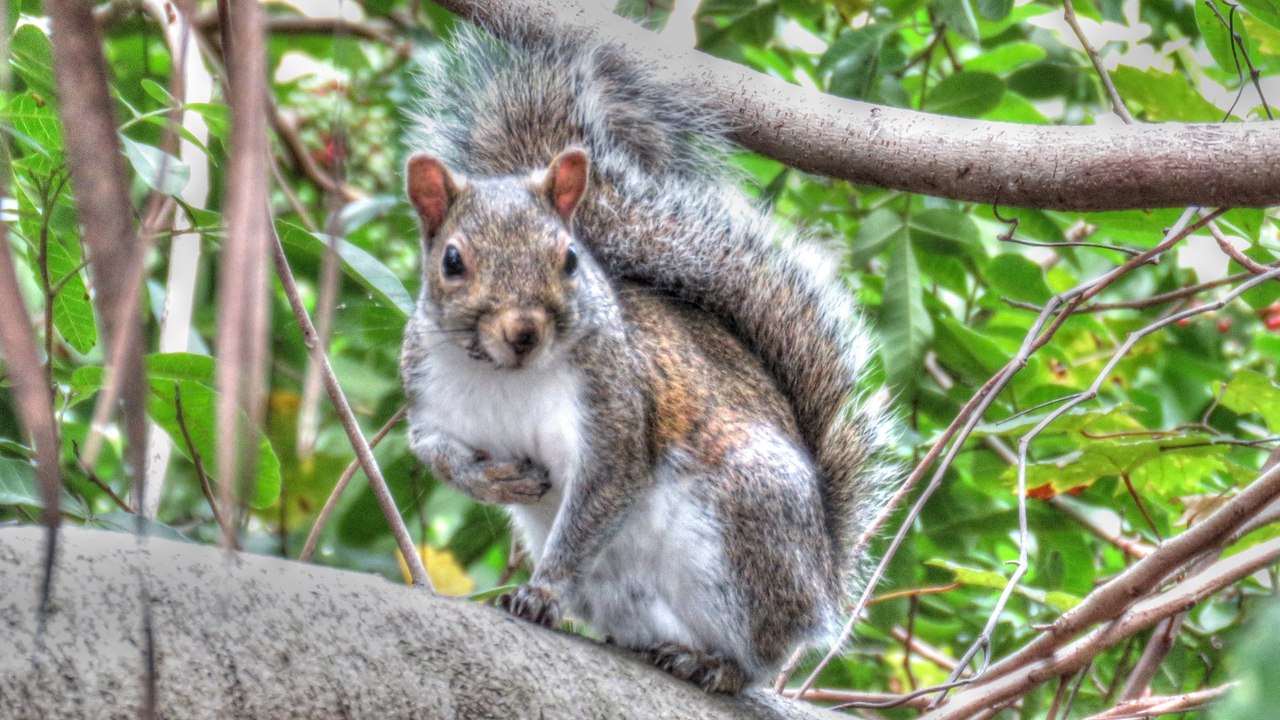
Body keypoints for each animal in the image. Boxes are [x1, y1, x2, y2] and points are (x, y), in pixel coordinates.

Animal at [400, 24, 896, 693]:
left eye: (570, 258)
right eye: (452, 261)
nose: (523, 331)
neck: (505, 375)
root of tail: (821, 587)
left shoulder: (616, 409)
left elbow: (602, 495)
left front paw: (541, 593)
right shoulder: (429, 398)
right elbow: (437, 454)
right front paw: (498, 480)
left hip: (748, 517)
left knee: (758, 654)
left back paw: (718, 663)